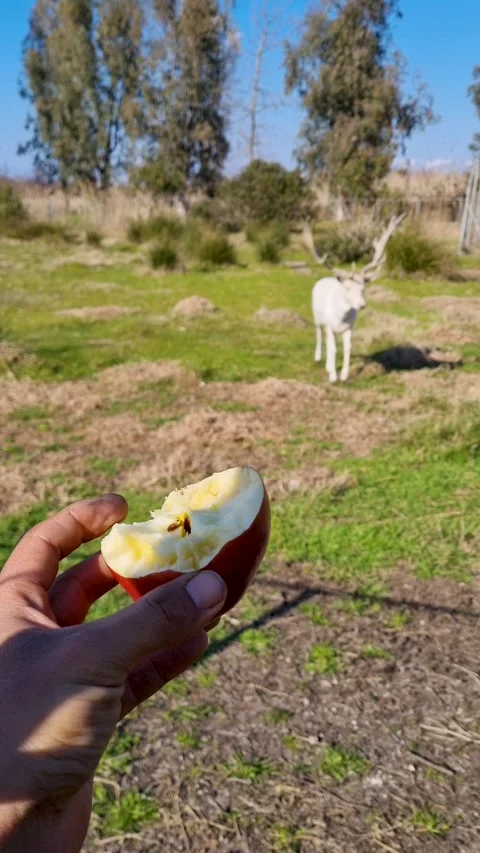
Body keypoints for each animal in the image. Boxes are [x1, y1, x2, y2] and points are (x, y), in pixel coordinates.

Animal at [303, 214, 406, 383]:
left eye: (363, 288)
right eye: (348, 288)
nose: (362, 305)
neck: (340, 318)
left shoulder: (350, 327)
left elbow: (347, 347)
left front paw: (344, 375)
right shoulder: (330, 325)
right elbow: (332, 347)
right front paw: (333, 376)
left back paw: (328, 365)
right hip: (316, 314)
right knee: (319, 332)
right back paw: (318, 358)